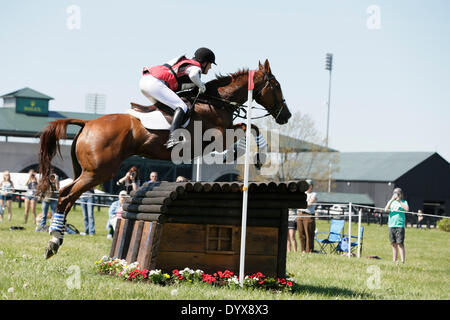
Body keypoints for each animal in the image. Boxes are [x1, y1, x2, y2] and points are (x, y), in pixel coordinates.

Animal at [37, 58, 292, 258]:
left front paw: (246, 154)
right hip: (98, 172)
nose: (286, 116)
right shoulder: (215, 136)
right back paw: (53, 240)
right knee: (65, 195)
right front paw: (254, 155)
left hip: (88, 171)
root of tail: (88, 123)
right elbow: (248, 128)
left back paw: (56, 238)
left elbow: (248, 127)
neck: (216, 102)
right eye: (276, 85)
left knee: (68, 195)